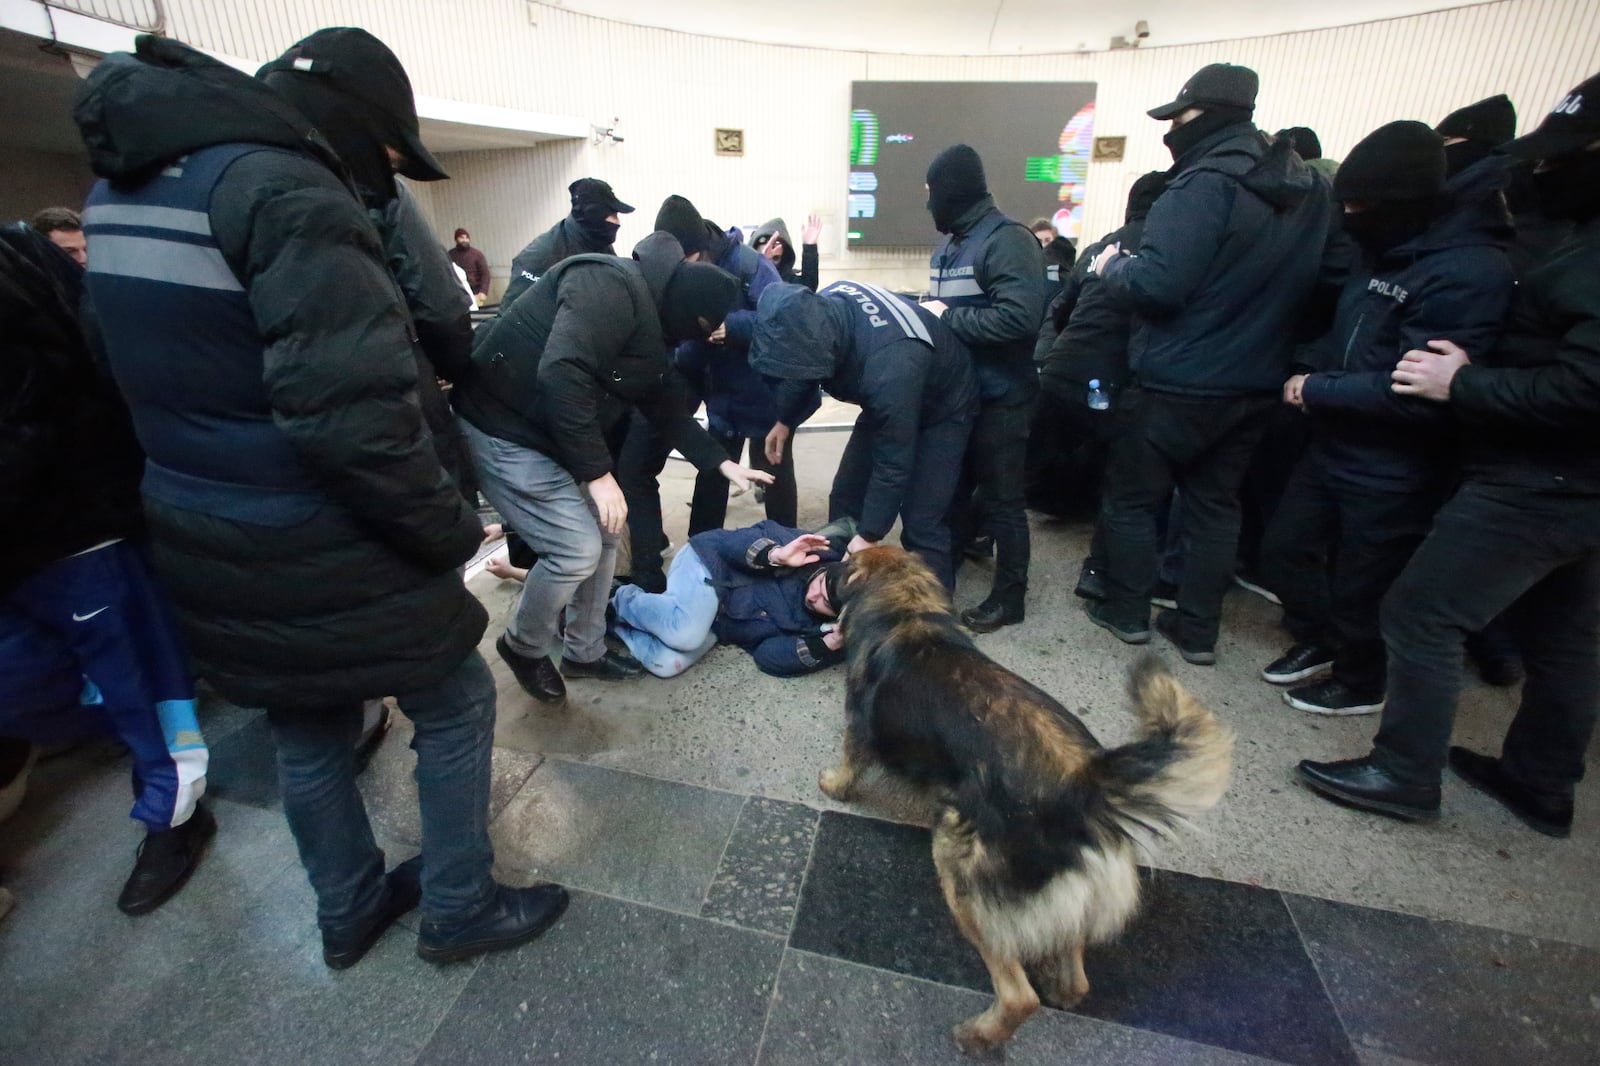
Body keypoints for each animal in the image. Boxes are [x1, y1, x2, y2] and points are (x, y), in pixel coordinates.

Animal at [819, 544, 1228, 1049]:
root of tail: (1083, 790)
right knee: (1076, 975)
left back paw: (979, 1035)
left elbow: (849, 763)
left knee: (1017, 994)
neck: (907, 608)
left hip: (960, 867)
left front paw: (833, 784)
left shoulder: (858, 728)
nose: (826, 567)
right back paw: (1059, 987)